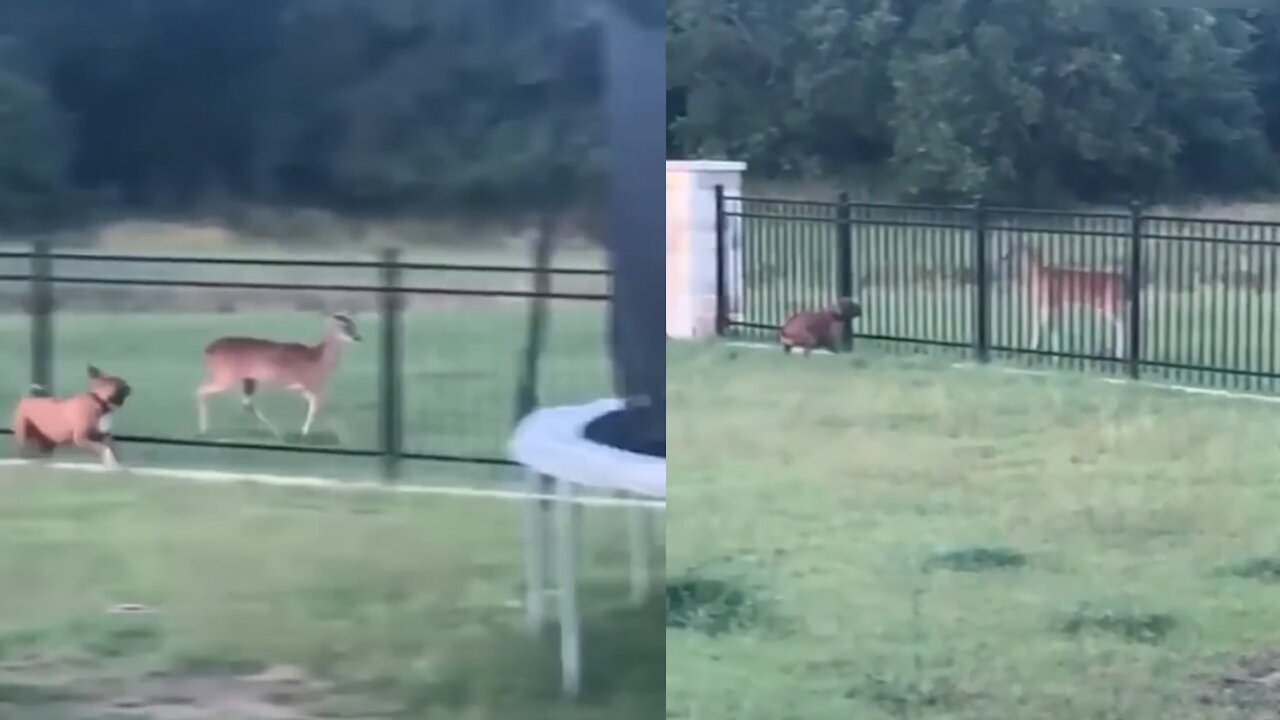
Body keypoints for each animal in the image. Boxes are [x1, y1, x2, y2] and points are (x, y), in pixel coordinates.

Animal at [197, 312, 363, 438]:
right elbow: (318, 405)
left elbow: (315, 404)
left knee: (246, 403)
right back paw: (203, 429)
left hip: (248, 379)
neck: (318, 359)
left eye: (354, 326)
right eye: (344, 327)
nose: (357, 337)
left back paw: (277, 432)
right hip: (224, 376)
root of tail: (208, 349)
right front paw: (310, 432)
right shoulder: (310, 383)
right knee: (200, 391)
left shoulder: (302, 387)